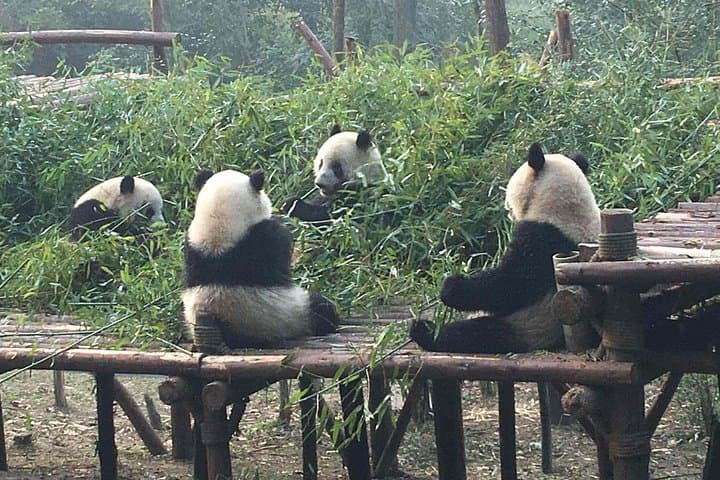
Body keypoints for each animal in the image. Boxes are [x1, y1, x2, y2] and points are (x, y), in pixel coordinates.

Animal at [410, 143, 601, 354]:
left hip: (526, 326)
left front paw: (451, 286)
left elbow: (510, 285)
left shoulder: (541, 242)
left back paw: (424, 331)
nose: (507, 209)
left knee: (474, 335)